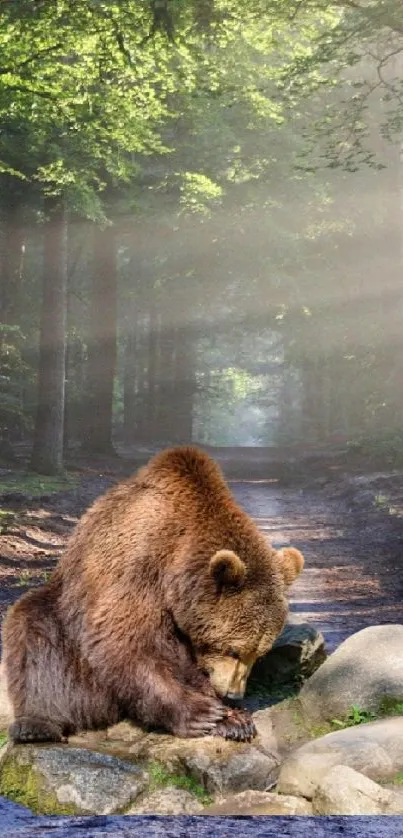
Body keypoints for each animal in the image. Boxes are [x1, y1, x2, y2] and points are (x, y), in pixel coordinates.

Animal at [0, 450, 304, 744]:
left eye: (259, 655)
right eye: (233, 650)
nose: (233, 694)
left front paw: (234, 719)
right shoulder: (139, 565)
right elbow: (123, 638)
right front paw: (204, 713)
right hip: (64, 616)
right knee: (34, 631)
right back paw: (36, 725)